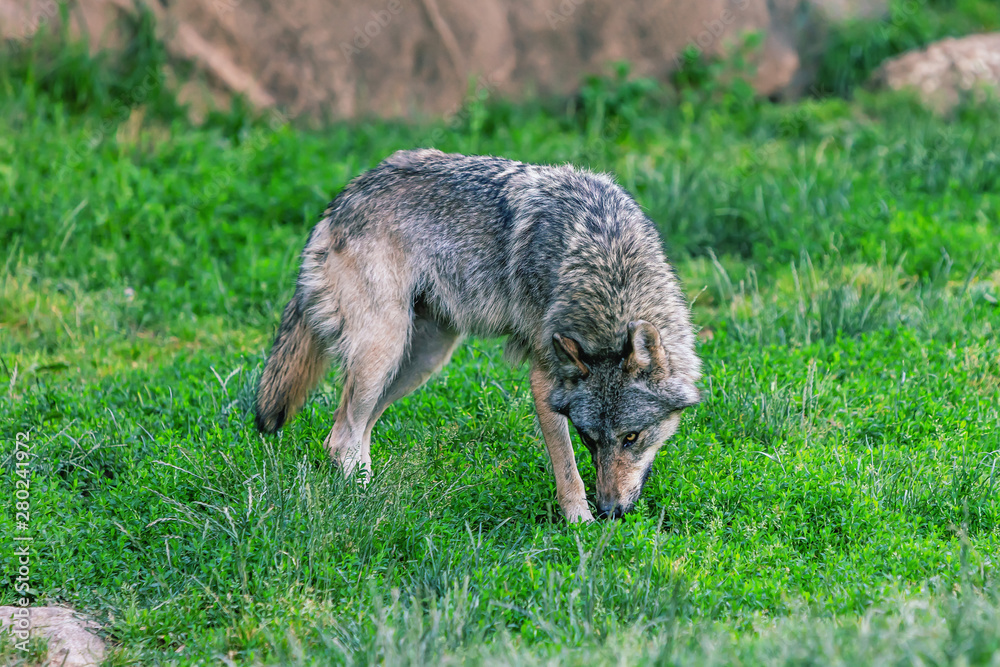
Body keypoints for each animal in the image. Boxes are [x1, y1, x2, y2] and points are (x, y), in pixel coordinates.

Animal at [254, 149, 700, 524]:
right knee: (340, 436)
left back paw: (378, 493)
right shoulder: (544, 379)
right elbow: (568, 472)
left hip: (420, 360)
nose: (610, 512)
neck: (605, 260)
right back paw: (363, 502)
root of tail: (339, 203)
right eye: (588, 439)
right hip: (384, 351)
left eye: (631, 437)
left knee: (356, 432)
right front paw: (580, 526)